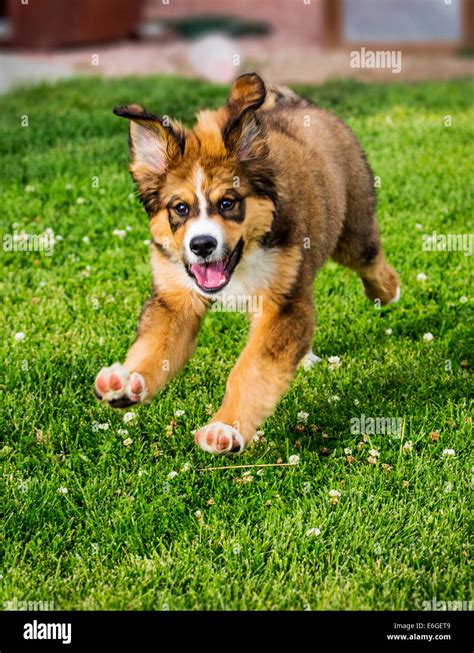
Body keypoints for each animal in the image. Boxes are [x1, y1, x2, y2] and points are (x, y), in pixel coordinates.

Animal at [95, 72, 400, 454]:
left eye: (228, 203)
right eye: (180, 208)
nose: (202, 245)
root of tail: (294, 103)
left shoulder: (282, 302)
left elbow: (253, 368)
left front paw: (225, 427)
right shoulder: (175, 297)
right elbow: (156, 345)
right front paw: (127, 381)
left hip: (353, 229)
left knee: (370, 259)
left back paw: (386, 292)